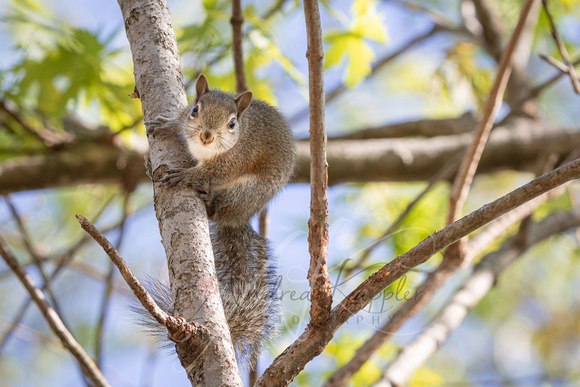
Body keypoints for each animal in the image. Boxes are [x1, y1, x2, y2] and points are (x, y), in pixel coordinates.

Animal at [140, 75, 294, 366]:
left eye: (232, 124)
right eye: (194, 110)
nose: (206, 135)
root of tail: (239, 218)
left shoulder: (236, 158)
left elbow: (210, 171)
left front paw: (186, 176)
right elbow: (176, 124)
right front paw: (166, 125)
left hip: (244, 193)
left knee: (218, 208)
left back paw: (208, 201)